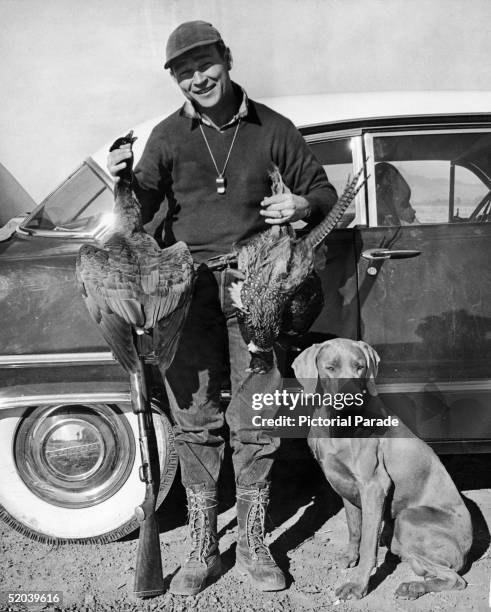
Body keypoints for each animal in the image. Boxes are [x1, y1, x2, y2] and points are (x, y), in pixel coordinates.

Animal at [292, 340, 472, 604]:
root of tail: (467, 551)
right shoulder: (345, 485)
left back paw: (412, 587)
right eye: (330, 367)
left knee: (455, 578)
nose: (351, 399)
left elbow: (368, 543)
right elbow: (355, 528)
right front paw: (349, 557)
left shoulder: (373, 486)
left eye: (360, 367)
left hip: (408, 519)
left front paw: (357, 585)